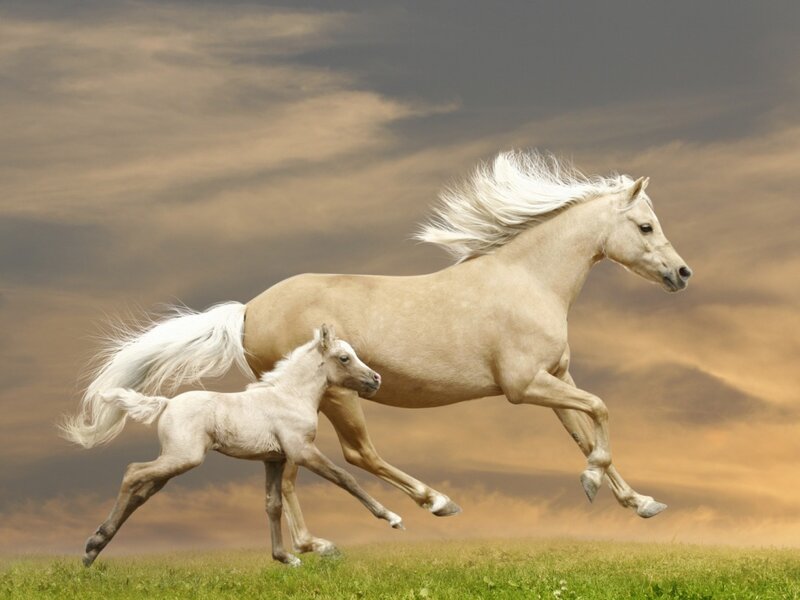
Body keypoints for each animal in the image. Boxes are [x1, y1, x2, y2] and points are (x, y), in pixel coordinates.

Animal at [81, 325, 402, 567]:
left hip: (173, 463)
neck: (290, 396)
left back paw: (93, 550)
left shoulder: (274, 459)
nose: (376, 379)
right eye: (344, 357)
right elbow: (345, 479)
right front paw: (392, 518)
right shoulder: (302, 451)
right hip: (183, 458)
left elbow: (272, 505)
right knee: (133, 471)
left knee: (141, 492)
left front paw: (285, 558)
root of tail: (167, 403)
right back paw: (95, 542)